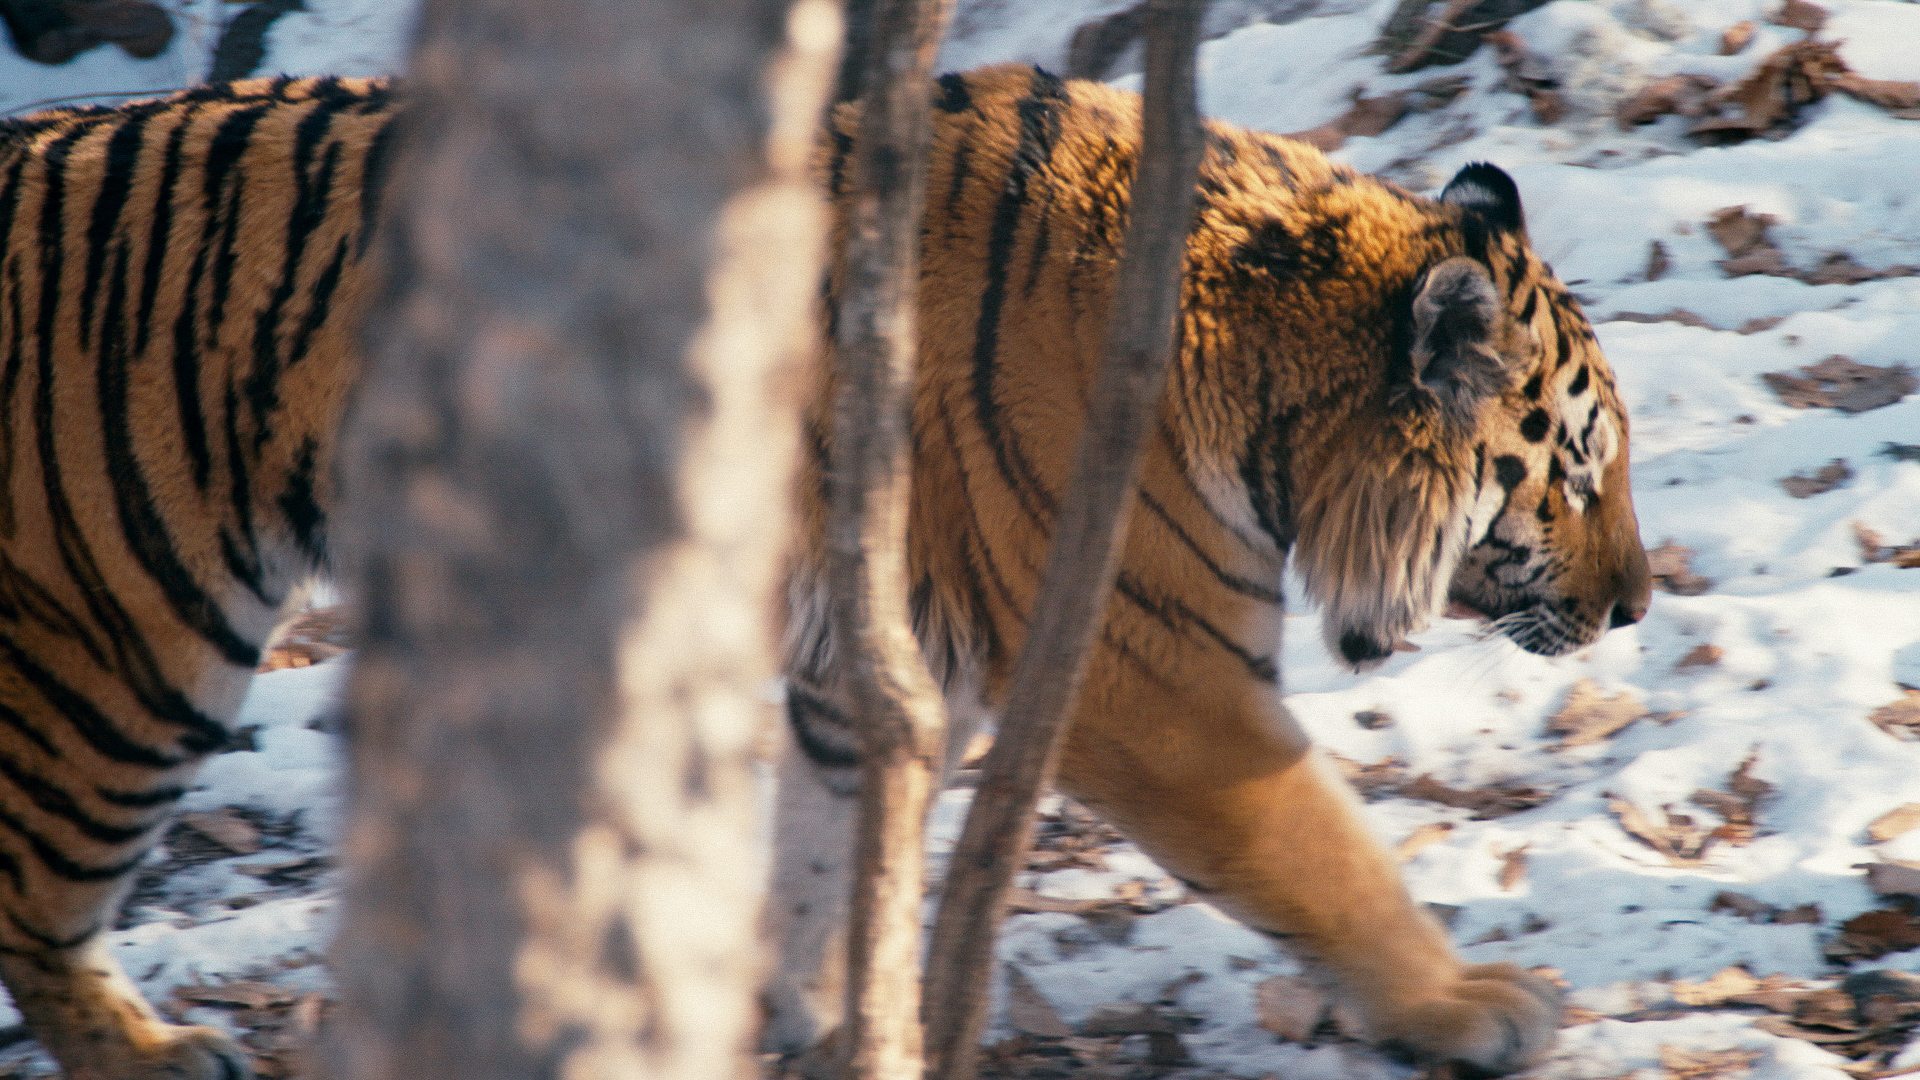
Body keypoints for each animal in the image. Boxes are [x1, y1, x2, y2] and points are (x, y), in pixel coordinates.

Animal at [764, 62, 1651, 1068]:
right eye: (1579, 476)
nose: (1637, 605)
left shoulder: (879, 666)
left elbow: (826, 845)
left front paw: (814, 1015)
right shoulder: (1158, 686)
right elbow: (1329, 863)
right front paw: (1462, 1003)